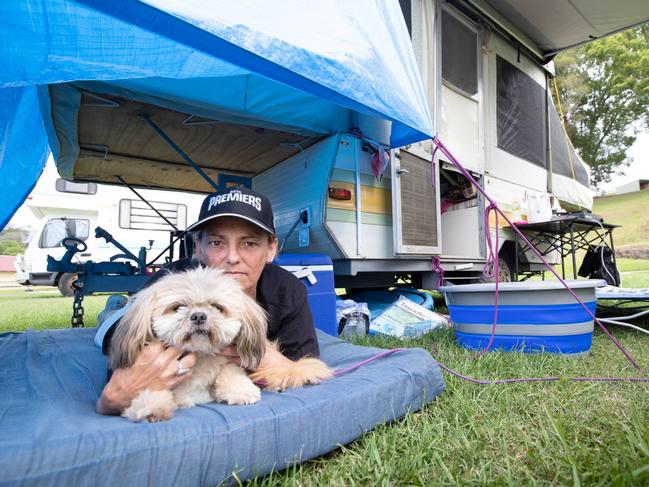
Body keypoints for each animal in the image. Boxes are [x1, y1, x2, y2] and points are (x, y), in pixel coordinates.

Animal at [109, 266, 332, 424]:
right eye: (178, 307)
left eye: (217, 307)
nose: (199, 316)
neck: (200, 357)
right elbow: (153, 389)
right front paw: (151, 407)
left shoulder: (231, 361)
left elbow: (229, 371)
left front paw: (240, 391)